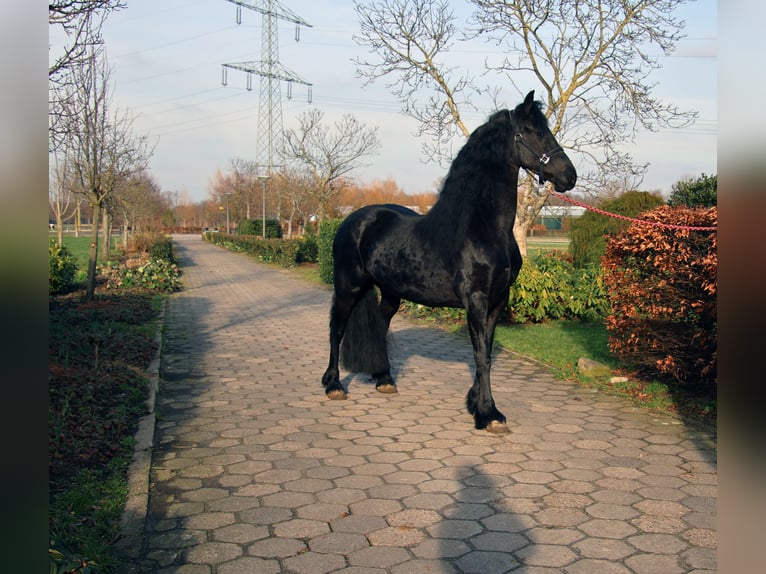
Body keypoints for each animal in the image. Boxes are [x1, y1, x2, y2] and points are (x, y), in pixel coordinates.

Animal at [321, 90, 577, 433]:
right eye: (531, 131)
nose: (569, 176)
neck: (480, 227)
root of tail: (353, 220)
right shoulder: (476, 299)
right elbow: (481, 356)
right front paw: (488, 413)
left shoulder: (497, 300)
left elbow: (486, 351)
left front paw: (475, 403)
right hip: (348, 285)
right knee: (337, 327)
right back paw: (334, 385)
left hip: (390, 293)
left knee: (380, 324)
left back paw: (384, 379)